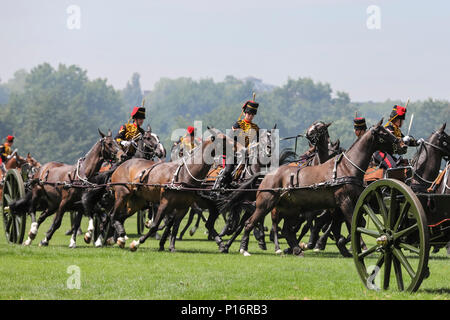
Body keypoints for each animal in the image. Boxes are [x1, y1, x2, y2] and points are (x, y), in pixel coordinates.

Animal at [225, 119, 404, 256]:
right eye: (384, 133)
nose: (402, 145)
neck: (346, 168)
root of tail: (268, 174)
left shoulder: (340, 206)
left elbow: (349, 224)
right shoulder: (344, 202)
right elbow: (352, 222)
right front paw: (360, 248)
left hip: (290, 209)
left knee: (287, 230)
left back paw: (296, 248)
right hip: (266, 204)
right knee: (250, 223)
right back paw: (244, 248)